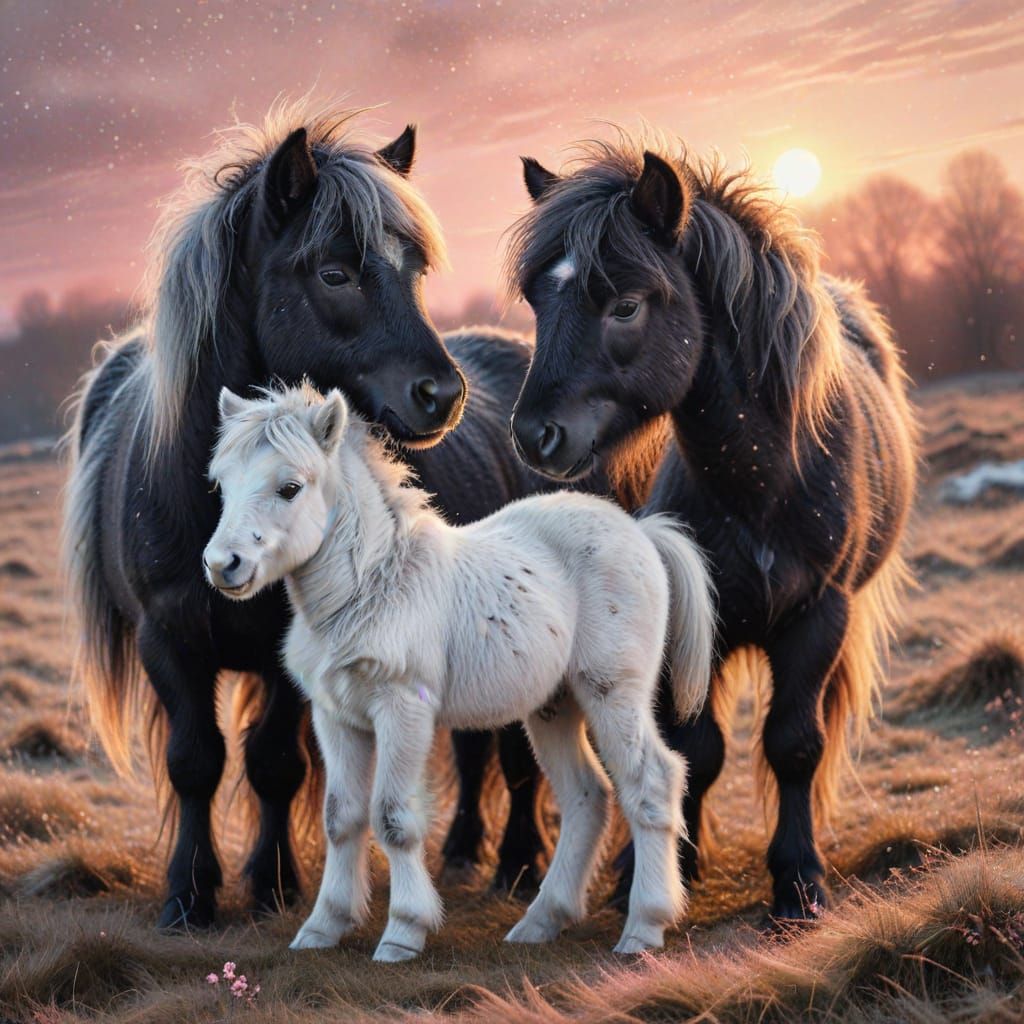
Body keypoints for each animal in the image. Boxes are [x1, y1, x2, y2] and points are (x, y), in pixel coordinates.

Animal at [62, 100, 553, 929]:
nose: (442, 396)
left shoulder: (292, 654)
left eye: (413, 269)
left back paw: (518, 866)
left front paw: (272, 884)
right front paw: (188, 896)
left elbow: (273, 764)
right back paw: (461, 853)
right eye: (334, 272)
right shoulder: (169, 640)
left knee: (517, 755)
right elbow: (195, 762)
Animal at [203, 382, 715, 960]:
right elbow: (341, 817)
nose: (223, 565)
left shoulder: (403, 710)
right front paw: (322, 928)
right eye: (221, 483)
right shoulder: (336, 717)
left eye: (290, 487)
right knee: (587, 797)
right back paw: (540, 922)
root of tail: (641, 531)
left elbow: (393, 818)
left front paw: (403, 933)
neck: (374, 585)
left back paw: (643, 928)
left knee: (651, 782)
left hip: (613, 692)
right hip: (554, 705)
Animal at [502, 132, 918, 921]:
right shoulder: (696, 618)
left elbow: (794, 744)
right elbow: (696, 746)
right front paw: (659, 869)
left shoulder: (820, 614)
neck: (762, 483)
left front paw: (799, 881)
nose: (536, 436)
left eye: (625, 304)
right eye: (538, 300)